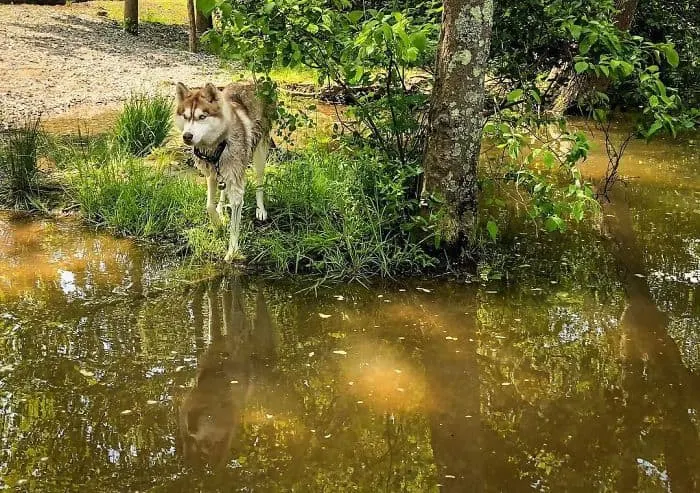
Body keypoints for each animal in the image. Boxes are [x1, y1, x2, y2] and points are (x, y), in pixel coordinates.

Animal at [175, 81, 274, 262]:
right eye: (185, 116)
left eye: (202, 117)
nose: (187, 136)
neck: (217, 145)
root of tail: (253, 82)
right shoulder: (210, 174)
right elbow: (209, 205)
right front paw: (218, 224)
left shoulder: (236, 188)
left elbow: (235, 225)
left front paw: (232, 251)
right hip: (223, 173)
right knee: (222, 189)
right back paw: (221, 208)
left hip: (260, 153)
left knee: (259, 183)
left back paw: (260, 210)